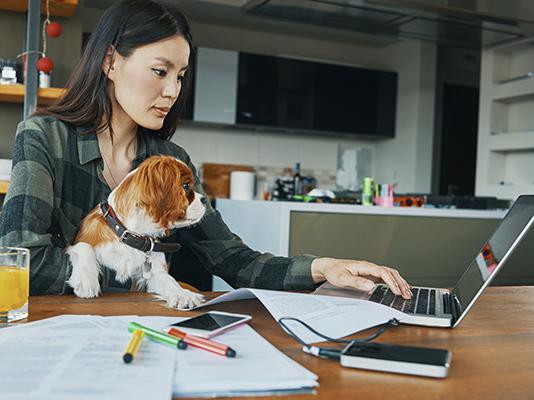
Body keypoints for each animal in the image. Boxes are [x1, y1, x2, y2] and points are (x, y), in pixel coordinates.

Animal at [66, 155, 207, 310]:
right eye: (186, 186)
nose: (205, 199)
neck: (131, 234)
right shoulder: (82, 240)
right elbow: (83, 246)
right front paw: (86, 281)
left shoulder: (156, 274)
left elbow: (170, 282)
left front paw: (183, 294)